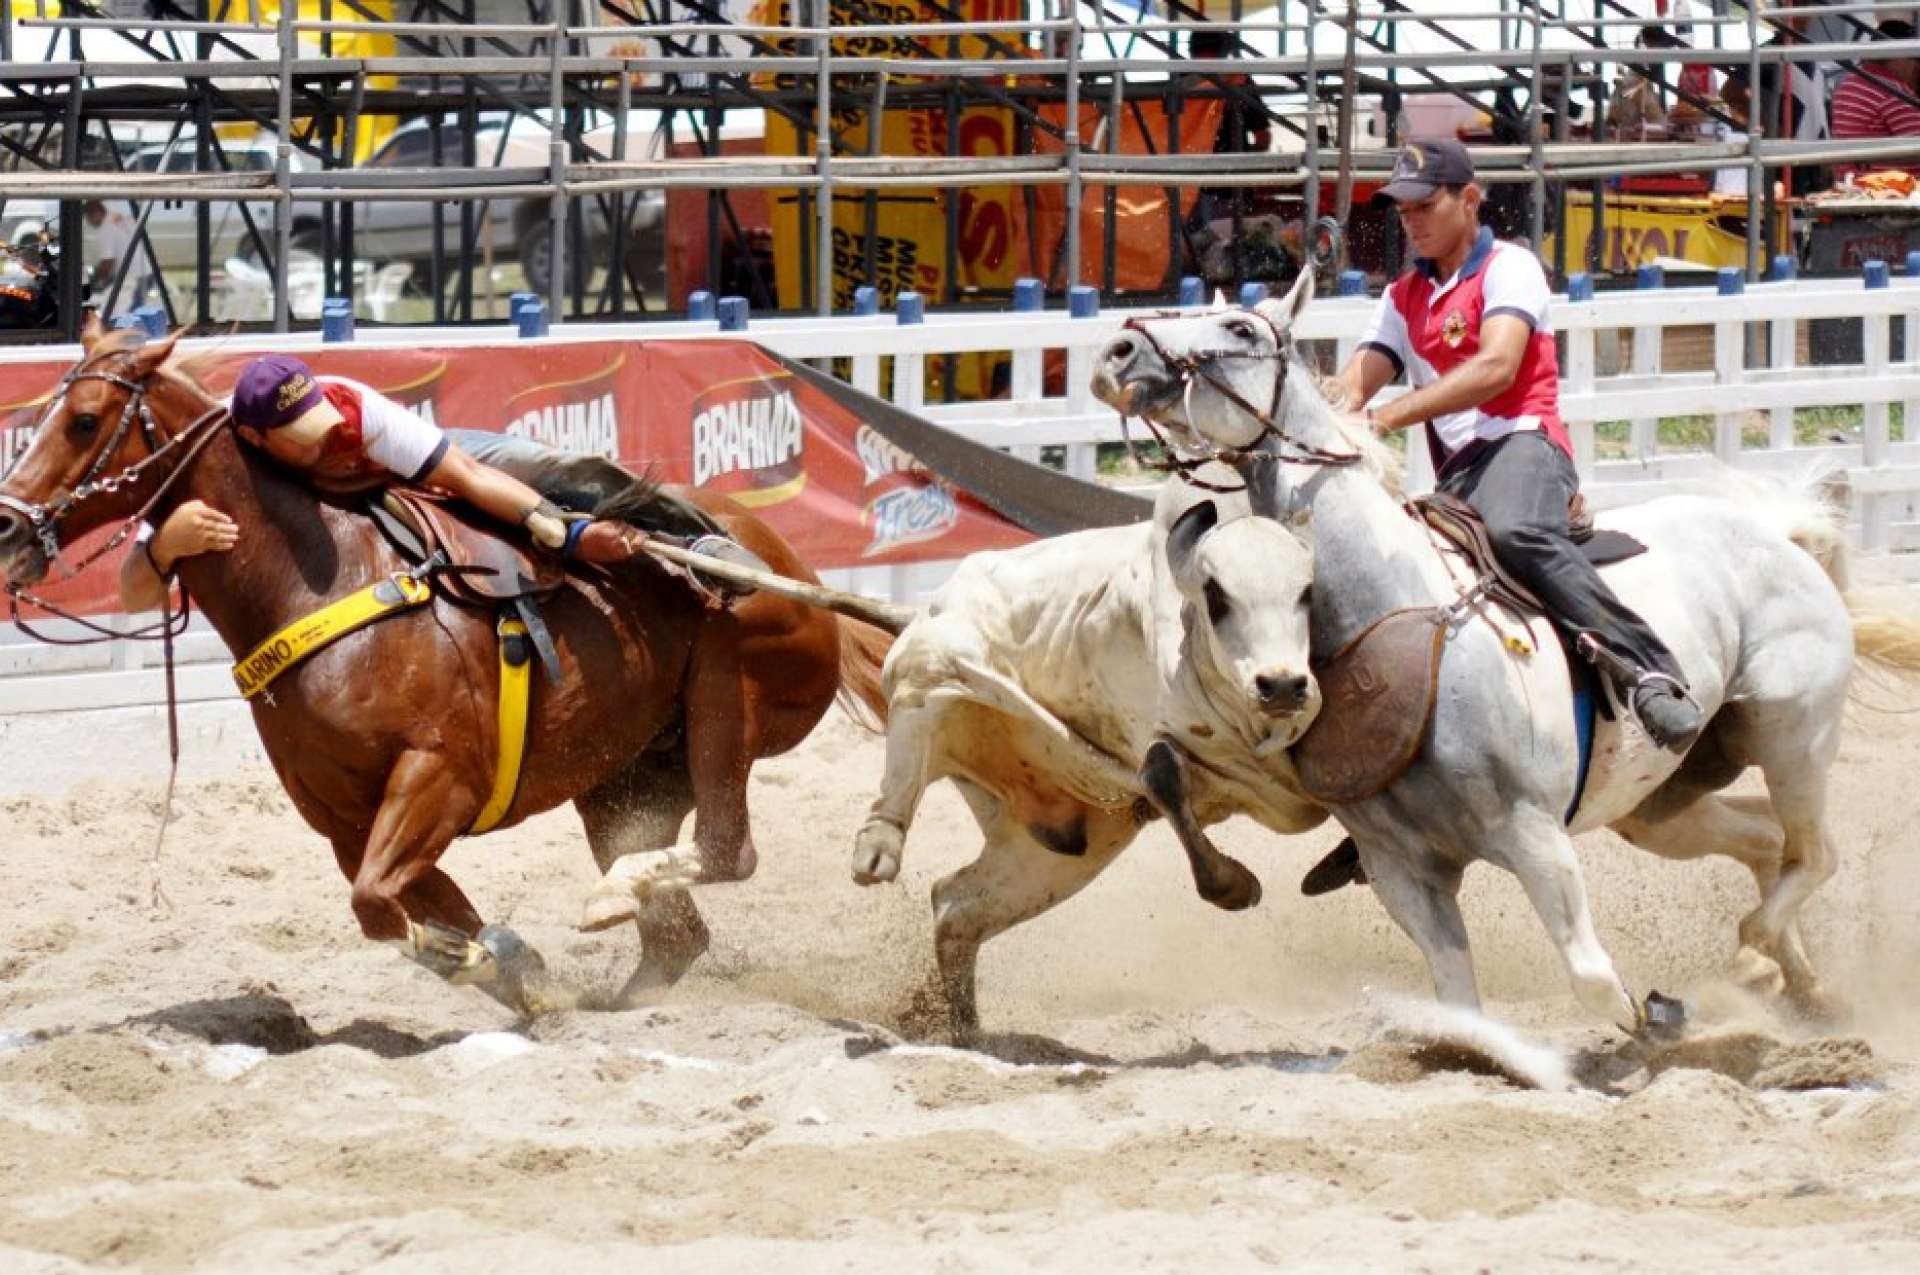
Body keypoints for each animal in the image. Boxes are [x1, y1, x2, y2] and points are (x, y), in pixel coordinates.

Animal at [0, 324, 890, 1013]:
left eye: (83, 420)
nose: (8, 529)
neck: (321, 577)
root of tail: (793, 567)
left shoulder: (437, 777)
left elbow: (381, 904)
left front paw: (482, 958)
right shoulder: (347, 824)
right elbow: (398, 904)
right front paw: (506, 965)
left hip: (727, 700)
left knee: (727, 851)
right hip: (623, 783)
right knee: (678, 929)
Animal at [852, 485, 1320, 1036]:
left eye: (1307, 593)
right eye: (1217, 595)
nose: (1283, 686)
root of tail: (923, 609)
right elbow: (1163, 774)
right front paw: (1236, 885)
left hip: (1061, 850)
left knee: (955, 907)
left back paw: (968, 1031)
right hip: (929, 678)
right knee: (906, 770)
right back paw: (877, 848)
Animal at [1098, 274, 1920, 1029]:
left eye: (1239, 326)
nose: (1116, 351)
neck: (1394, 608)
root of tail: (1784, 537)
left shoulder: (1534, 835)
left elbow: (1593, 980)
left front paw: (1653, 1017)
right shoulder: (1403, 870)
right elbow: (1460, 1001)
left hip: (1792, 735)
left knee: (1813, 854)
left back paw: (1755, 967)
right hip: (1659, 802)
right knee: (1763, 840)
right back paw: (1797, 983)